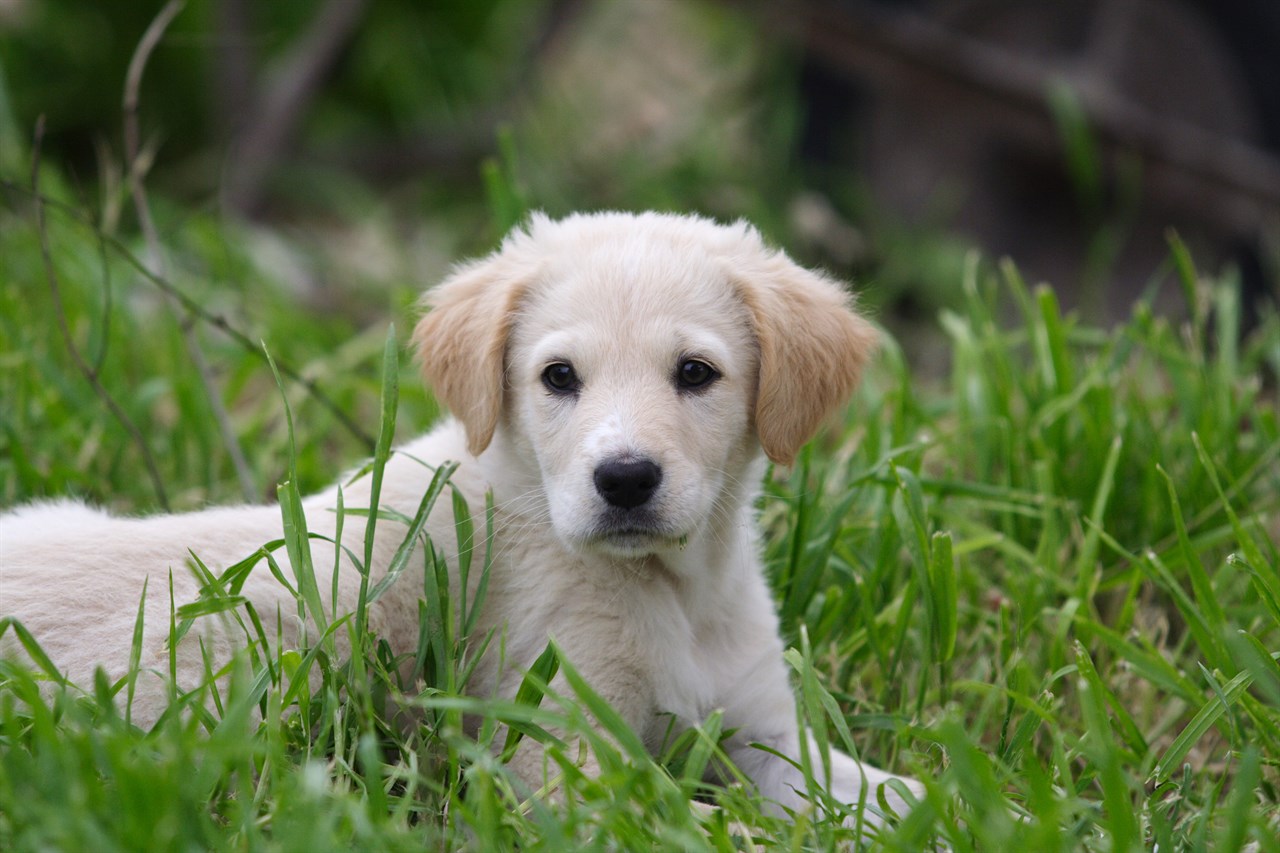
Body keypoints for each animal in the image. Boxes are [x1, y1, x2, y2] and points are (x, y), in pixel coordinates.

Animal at [0, 211, 921, 824]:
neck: (674, 591)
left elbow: (876, 791)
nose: (624, 479)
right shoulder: (557, 749)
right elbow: (670, 817)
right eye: (558, 376)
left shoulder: (766, 733)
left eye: (696, 372)